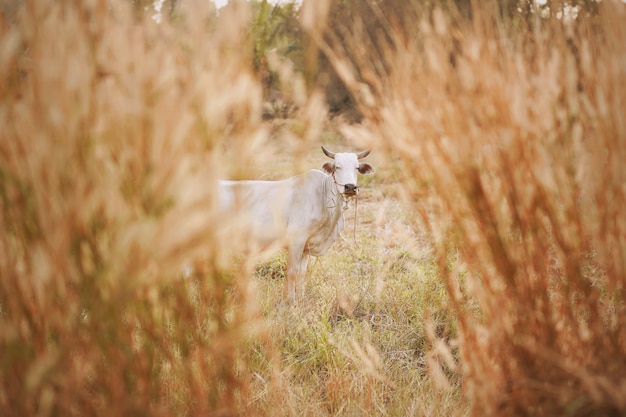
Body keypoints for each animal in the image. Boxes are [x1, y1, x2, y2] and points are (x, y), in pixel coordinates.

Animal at [217, 145, 372, 300]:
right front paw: (291, 300)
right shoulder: (296, 241)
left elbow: (302, 273)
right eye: (337, 167)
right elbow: (292, 272)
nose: (350, 187)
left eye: (357, 167)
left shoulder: (306, 246)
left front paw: (301, 297)